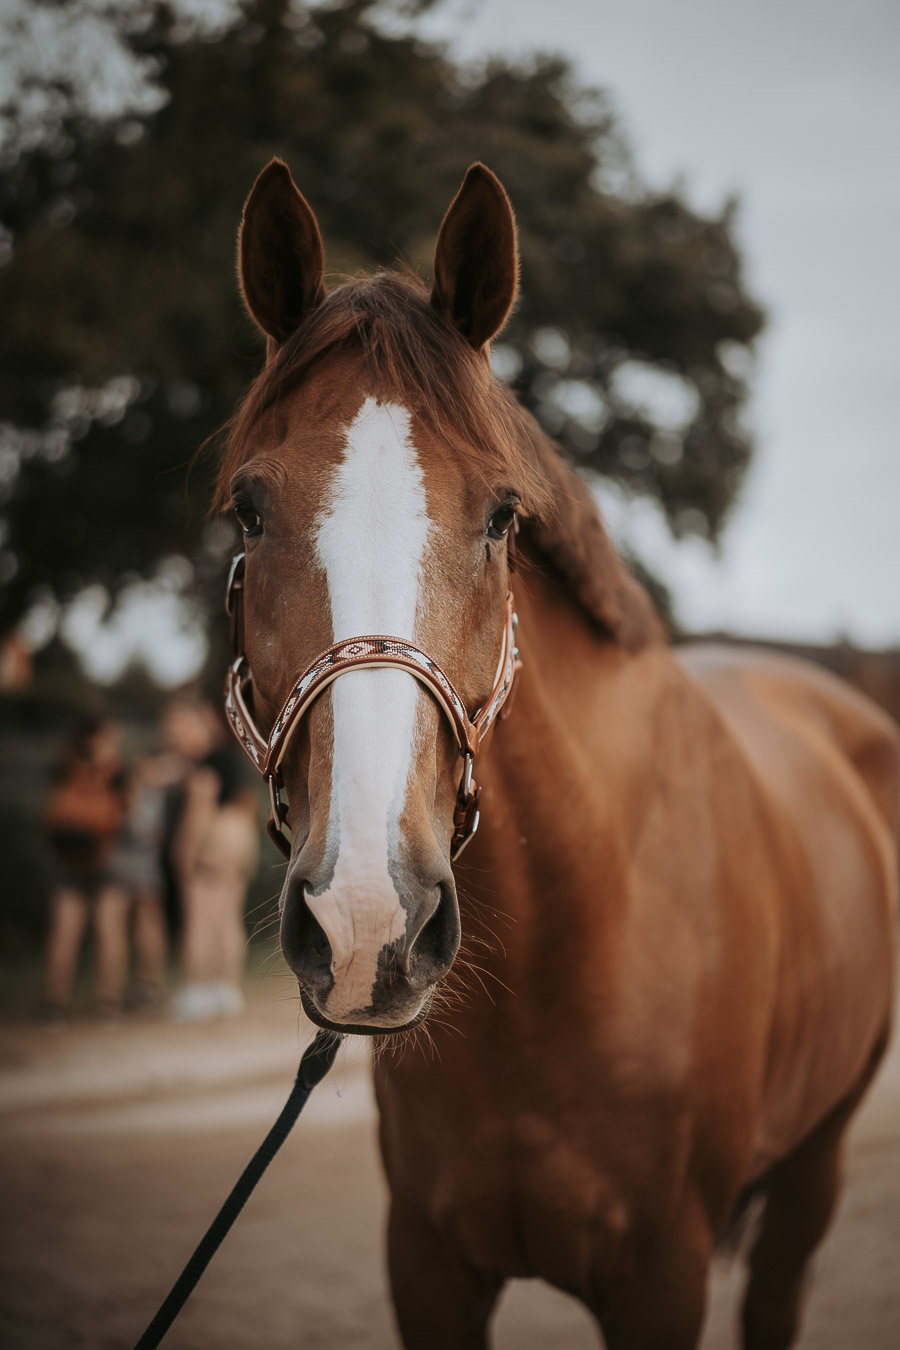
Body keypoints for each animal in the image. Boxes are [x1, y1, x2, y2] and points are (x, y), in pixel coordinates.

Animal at [216, 158, 899, 1349]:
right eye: (250, 511)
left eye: (501, 517)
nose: (364, 920)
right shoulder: (428, 1266)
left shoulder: (662, 1279)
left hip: (816, 1165)